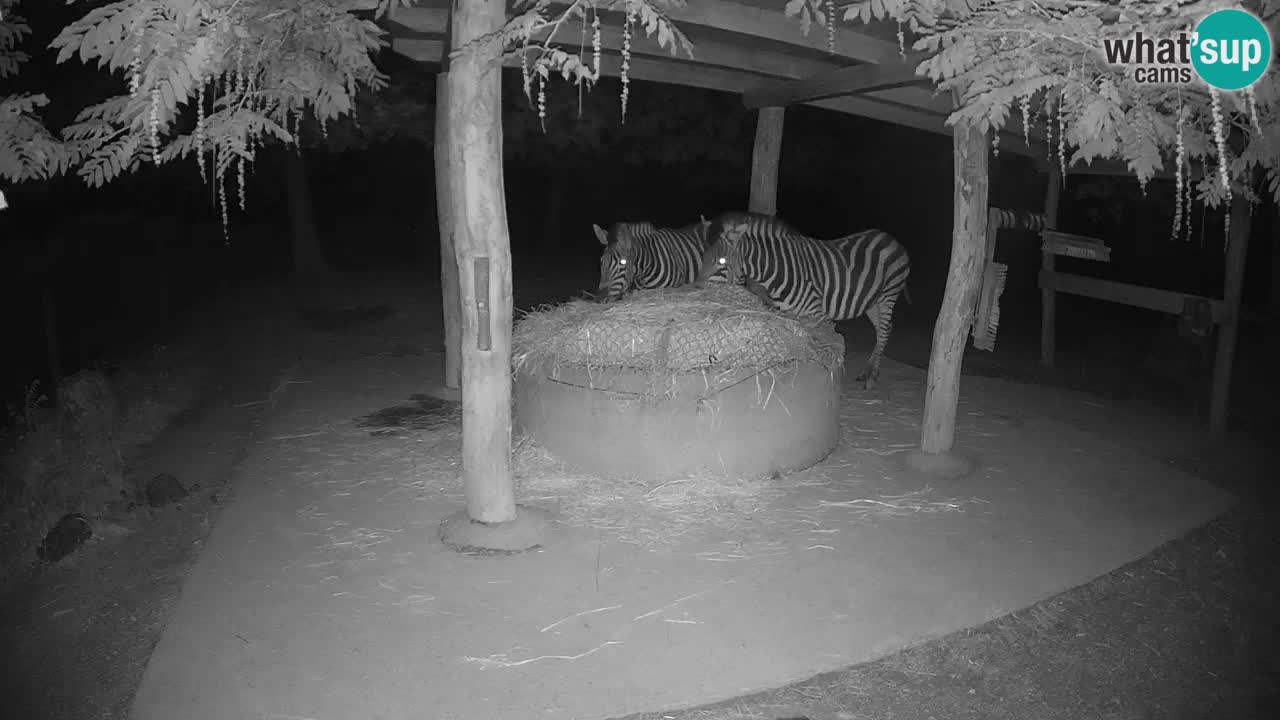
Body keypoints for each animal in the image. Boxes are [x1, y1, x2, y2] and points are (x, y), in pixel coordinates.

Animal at [694, 211, 912, 390]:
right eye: (703, 258)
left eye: (722, 262)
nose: (695, 289)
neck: (777, 271)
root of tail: (889, 237)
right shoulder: (790, 313)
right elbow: (794, 344)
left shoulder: (816, 314)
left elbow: (819, 347)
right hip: (872, 302)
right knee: (884, 329)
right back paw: (868, 371)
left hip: (888, 295)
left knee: (884, 330)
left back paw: (871, 377)